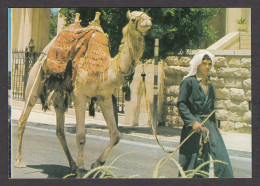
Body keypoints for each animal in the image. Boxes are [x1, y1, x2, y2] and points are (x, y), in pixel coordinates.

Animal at [13, 10, 152, 177]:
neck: (107, 68)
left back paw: (72, 165)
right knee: (23, 118)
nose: (148, 22)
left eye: (146, 15)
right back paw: (19, 161)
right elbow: (80, 136)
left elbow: (116, 135)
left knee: (59, 129)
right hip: (35, 79)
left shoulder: (104, 97)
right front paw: (81, 170)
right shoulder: (80, 95)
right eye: (133, 19)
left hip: (60, 95)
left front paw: (95, 165)